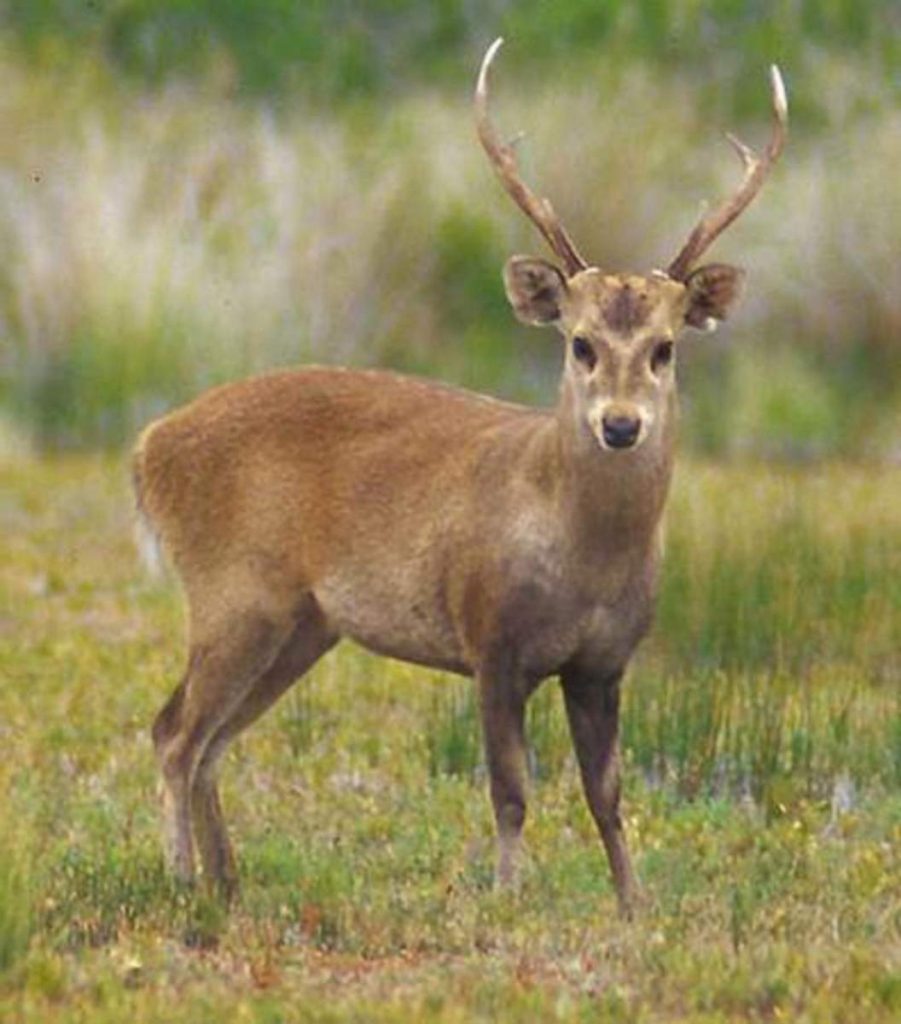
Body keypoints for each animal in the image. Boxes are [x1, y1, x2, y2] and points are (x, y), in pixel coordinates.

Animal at [130, 41, 786, 921]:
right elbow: (510, 790)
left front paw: (632, 907)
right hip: (231, 590)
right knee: (173, 732)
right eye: (579, 342)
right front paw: (506, 899)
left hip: (302, 621)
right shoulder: (491, 639)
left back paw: (226, 883)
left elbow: (607, 796)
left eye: (664, 347)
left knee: (211, 739)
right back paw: (180, 884)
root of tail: (148, 446)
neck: (579, 560)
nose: (619, 425)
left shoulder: (604, 661)